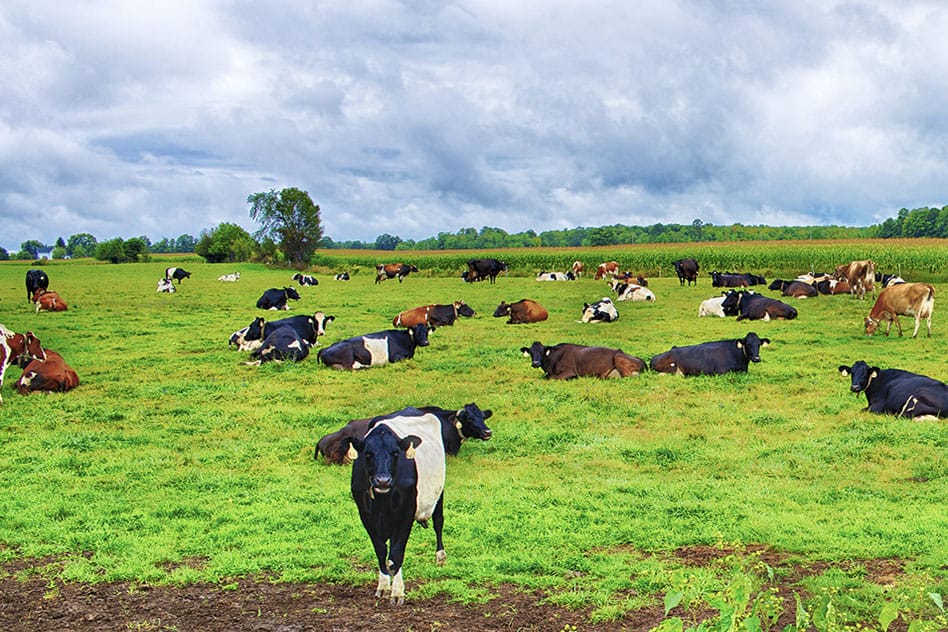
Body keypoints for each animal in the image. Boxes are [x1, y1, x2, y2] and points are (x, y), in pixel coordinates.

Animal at [342, 408, 446, 604]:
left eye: (395, 453)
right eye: (368, 454)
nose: (382, 480)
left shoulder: (405, 515)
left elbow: (396, 553)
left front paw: (398, 592)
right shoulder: (366, 515)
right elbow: (381, 551)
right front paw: (383, 586)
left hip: (440, 492)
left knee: (438, 521)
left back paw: (440, 556)